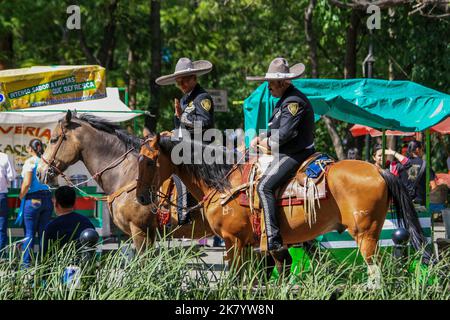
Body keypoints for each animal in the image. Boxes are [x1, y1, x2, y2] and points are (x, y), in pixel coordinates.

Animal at [137, 132, 432, 284]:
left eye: (149, 161)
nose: (140, 197)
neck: (224, 183)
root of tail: (378, 169)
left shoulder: (233, 242)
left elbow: (236, 279)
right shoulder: (262, 245)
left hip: (366, 236)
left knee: (376, 272)